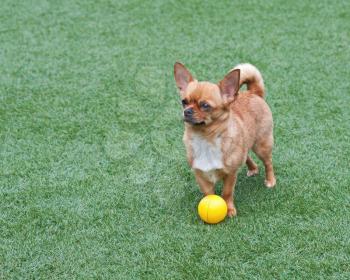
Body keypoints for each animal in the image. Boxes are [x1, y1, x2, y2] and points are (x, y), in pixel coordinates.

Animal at [174, 63, 274, 217]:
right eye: (184, 102)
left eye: (205, 105)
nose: (187, 111)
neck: (205, 138)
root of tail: (253, 93)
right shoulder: (200, 174)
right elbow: (208, 193)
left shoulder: (230, 174)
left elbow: (227, 192)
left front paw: (230, 210)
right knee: (247, 156)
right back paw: (253, 169)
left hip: (261, 145)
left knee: (268, 162)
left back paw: (270, 181)